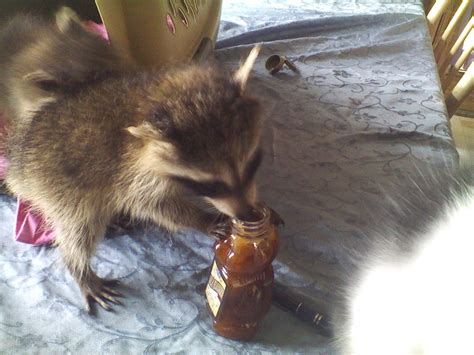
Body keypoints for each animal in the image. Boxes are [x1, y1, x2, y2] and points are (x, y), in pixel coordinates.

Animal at [2, 9, 262, 314]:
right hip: (59, 187)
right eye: (213, 184)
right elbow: (153, 206)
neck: (158, 97)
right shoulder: (133, 172)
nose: (248, 215)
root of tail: (17, 161)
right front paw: (203, 219)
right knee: (79, 230)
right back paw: (79, 268)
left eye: (252, 163)